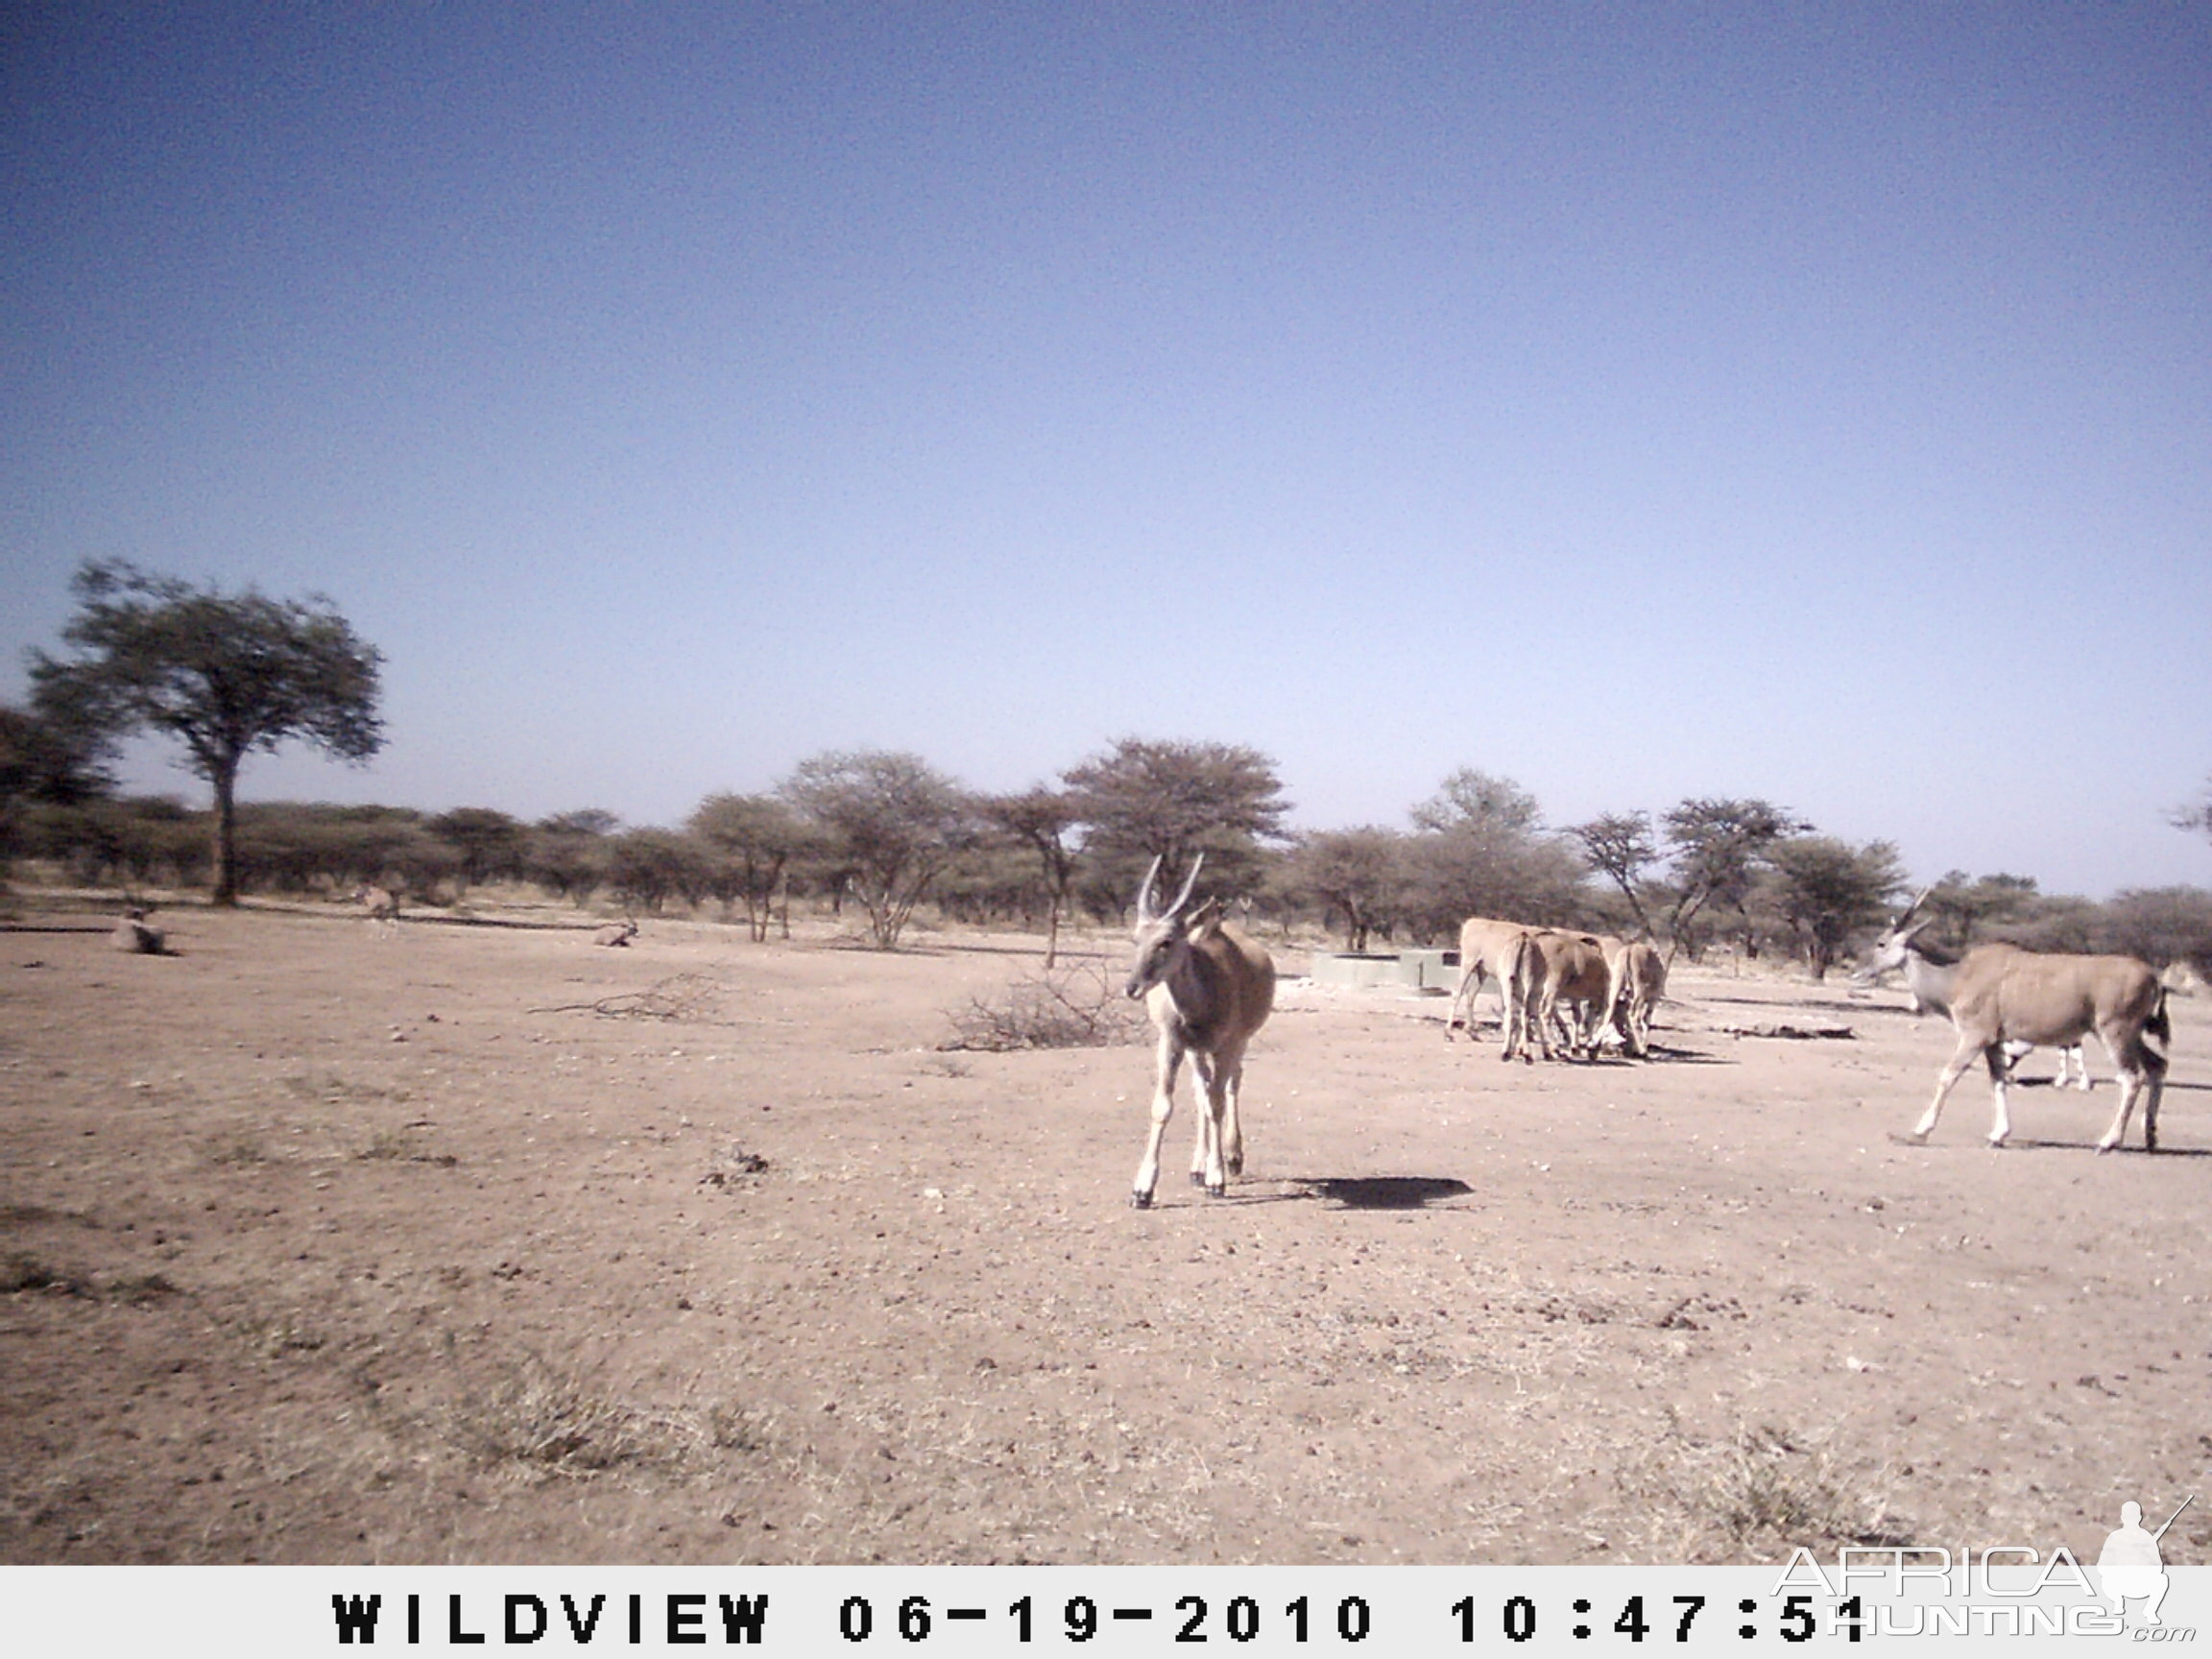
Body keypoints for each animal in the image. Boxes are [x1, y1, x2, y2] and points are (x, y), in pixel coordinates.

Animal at [1123, 857, 1283, 1212]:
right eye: (1136, 940)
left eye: (1166, 941)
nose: (1132, 987)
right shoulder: (1172, 1043)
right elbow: (1165, 1105)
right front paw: (1143, 1189)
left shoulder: (1228, 1045)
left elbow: (1219, 1103)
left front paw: (1217, 1178)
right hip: (1196, 1051)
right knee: (1202, 1092)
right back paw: (1197, 1167)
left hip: (1237, 1044)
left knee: (1230, 1086)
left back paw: (1233, 1158)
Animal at [1866, 898, 2158, 1159]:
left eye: (1881, 943)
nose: (1864, 970)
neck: (1958, 976)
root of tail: (2152, 976)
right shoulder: (1995, 1042)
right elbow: (1998, 1080)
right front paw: (1998, 1135)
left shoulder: (1975, 1037)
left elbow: (1949, 1076)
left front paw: (1919, 1132)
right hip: (2128, 1035)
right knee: (2157, 1066)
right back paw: (2150, 1136)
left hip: (2114, 1032)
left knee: (2132, 1077)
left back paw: (2108, 1142)